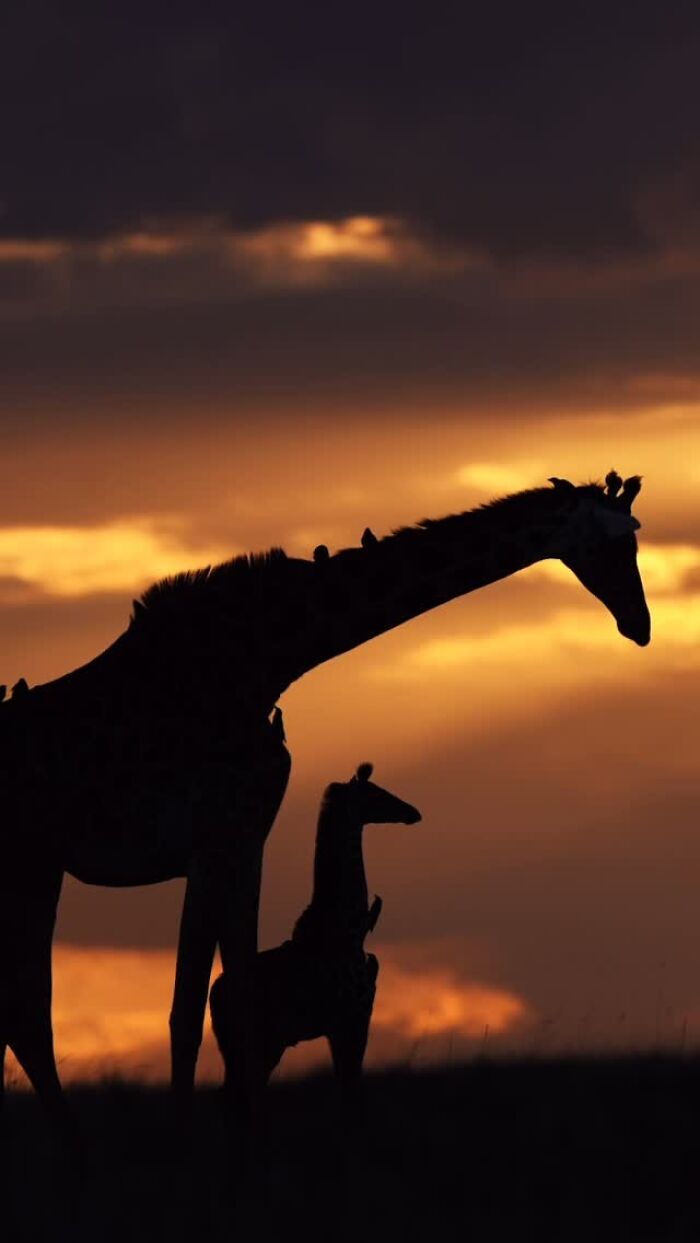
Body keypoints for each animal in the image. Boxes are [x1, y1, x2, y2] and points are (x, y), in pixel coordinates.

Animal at [209, 759, 421, 1117]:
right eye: (378, 793)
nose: (413, 812)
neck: (350, 928)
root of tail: (215, 995)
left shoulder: (342, 1024)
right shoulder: (353, 1017)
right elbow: (352, 1095)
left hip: (254, 1046)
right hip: (258, 1043)